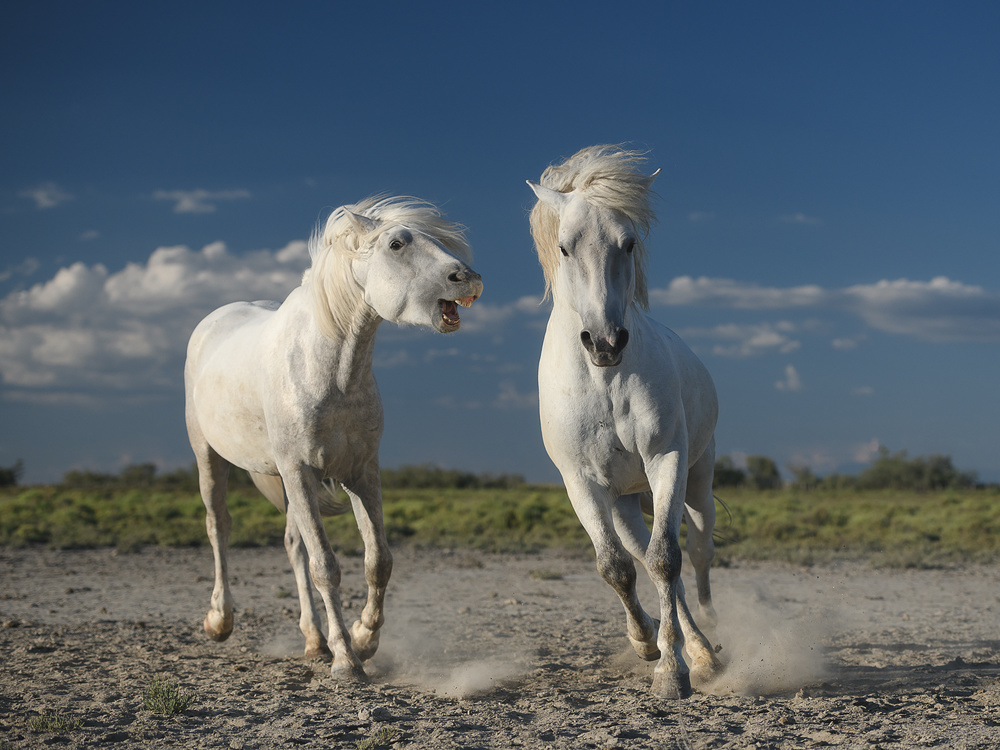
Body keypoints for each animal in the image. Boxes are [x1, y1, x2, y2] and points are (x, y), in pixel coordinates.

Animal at [188, 194, 488, 680]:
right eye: (397, 244)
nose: (470, 280)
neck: (329, 370)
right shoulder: (300, 471)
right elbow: (326, 566)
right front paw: (347, 660)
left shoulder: (360, 473)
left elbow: (377, 561)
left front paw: (364, 639)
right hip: (210, 457)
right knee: (219, 527)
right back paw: (220, 620)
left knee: (293, 547)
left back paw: (314, 641)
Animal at [528, 147, 724, 700]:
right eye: (564, 247)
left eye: (629, 242)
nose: (605, 342)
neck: (604, 382)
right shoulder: (582, 482)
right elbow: (616, 567)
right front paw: (646, 645)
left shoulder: (667, 460)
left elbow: (665, 560)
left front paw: (672, 672)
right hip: (624, 503)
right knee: (646, 561)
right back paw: (685, 646)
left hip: (695, 482)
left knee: (693, 556)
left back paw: (704, 648)